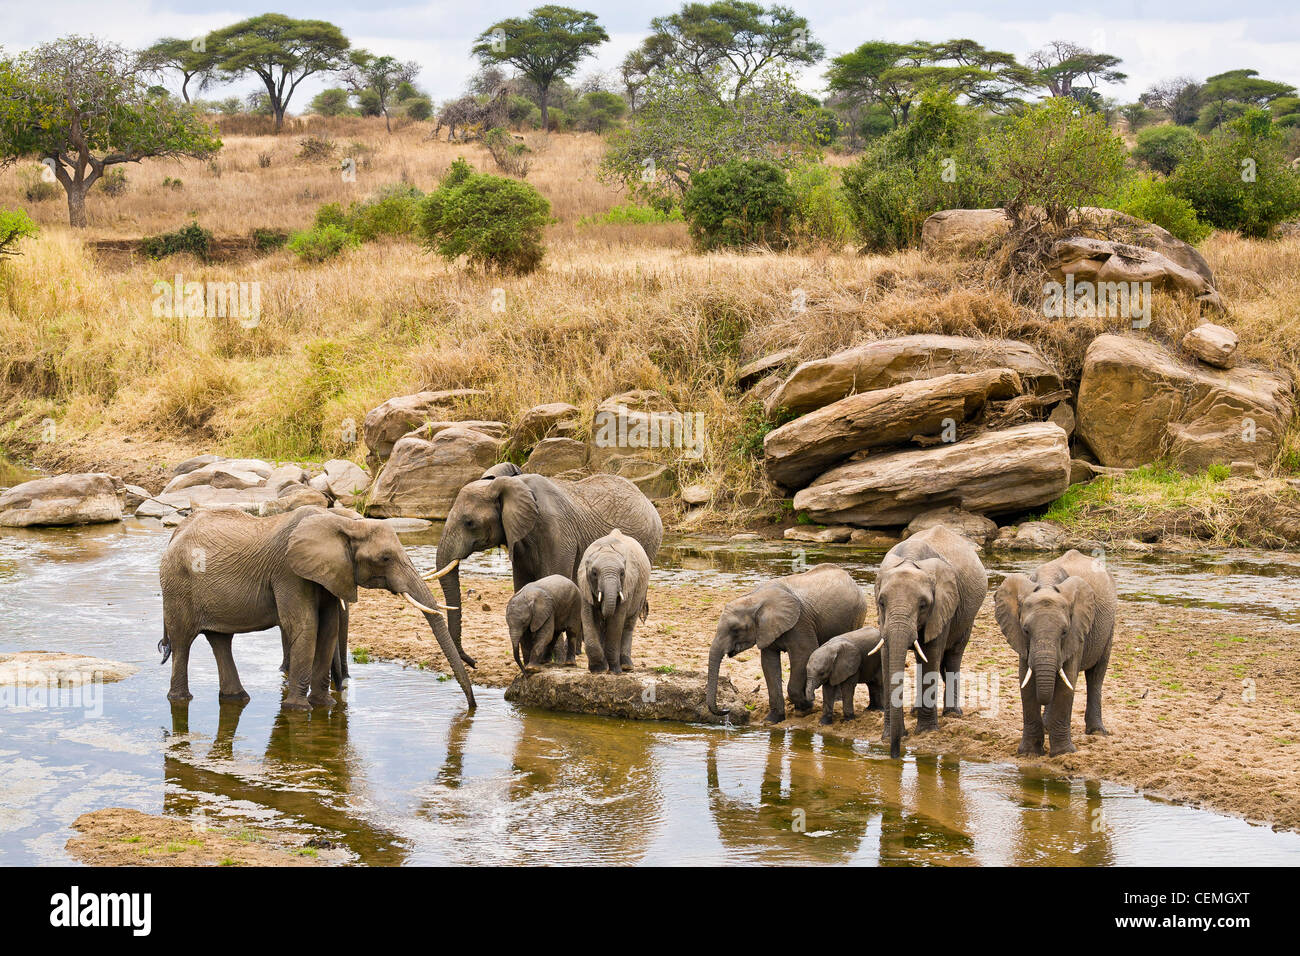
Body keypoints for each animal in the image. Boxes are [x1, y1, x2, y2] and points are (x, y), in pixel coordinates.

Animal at [159, 506, 472, 711]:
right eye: (385, 558)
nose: (471, 708)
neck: (343, 523)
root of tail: (175, 533)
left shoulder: (329, 573)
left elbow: (329, 627)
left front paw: (324, 704)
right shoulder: (288, 570)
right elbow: (305, 626)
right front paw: (298, 709)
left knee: (220, 640)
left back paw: (237, 698)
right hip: (177, 586)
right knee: (183, 641)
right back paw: (180, 700)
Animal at [576, 529, 651, 674]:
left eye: (622, 573)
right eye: (594, 573)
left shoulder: (627, 585)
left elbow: (616, 620)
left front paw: (614, 671)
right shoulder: (584, 584)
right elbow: (588, 616)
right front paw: (598, 669)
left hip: (640, 591)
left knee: (628, 625)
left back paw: (626, 666)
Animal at [707, 565, 868, 724]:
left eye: (735, 629)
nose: (726, 709)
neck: (755, 599)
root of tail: (849, 577)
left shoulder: (800, 623)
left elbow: (804, 655)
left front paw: (806, 707)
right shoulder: (766, 631)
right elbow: (769, 664)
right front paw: (772, 720)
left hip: (856, 616)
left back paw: (837, 699)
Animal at [874, 526, 987, 758]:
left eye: (923, 605)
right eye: (881, 602)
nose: (895, 754)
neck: (910, 560)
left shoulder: (943, 607)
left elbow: (933, 654)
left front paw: (925, 733)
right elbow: (887, 656)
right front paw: (889, 736)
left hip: (966, 617)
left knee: (952, 657)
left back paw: (953, 714)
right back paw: (916, 711)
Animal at [994, 549, 1117, 756]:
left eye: (1065, 632)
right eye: (1026, 630)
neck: (1047, 584)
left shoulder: (1078, 629)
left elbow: (1067, 680)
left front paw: (1064, 754)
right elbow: (1025, 680)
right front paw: (1029, 753)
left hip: (1109, 628)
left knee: (1096, 676)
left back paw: (1097, 732)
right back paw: (1047, 727)